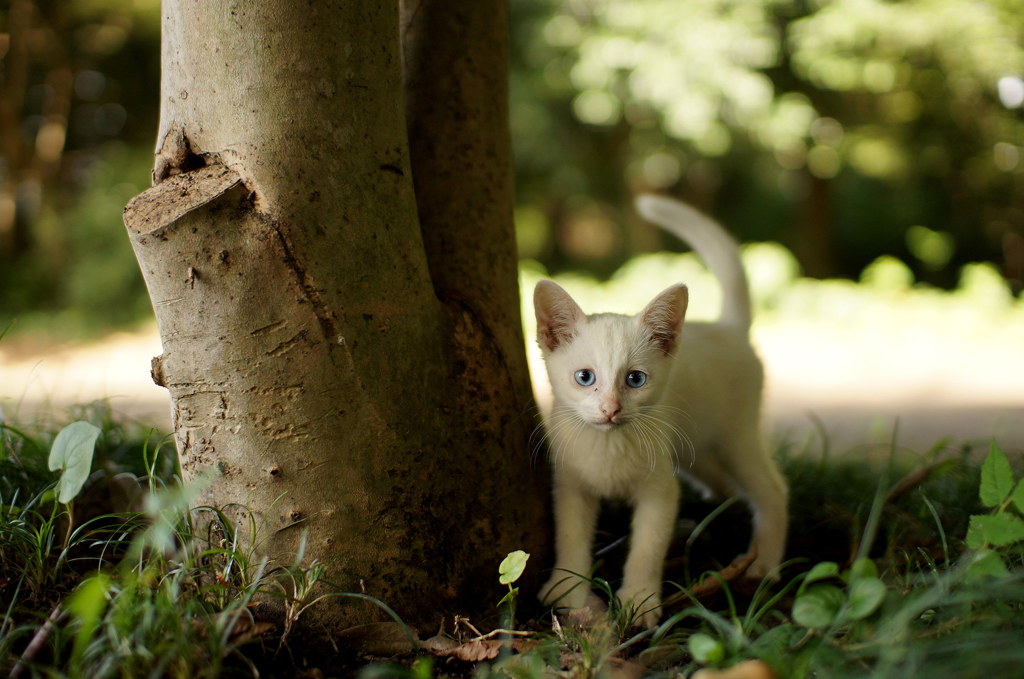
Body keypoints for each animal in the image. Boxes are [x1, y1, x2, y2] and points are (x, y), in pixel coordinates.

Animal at [532, 193, 786, 630]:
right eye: (585, 377)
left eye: (635, 379)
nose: (610, 409)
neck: (609, 449)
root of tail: (727, 327)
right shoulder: (570, 483)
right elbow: (570, 535)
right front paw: (568, 589)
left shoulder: (660, 490)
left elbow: (648, 546)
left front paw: (639, 599)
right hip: (692, 446)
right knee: (723, 482)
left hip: (735, 434)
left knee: (772, 488)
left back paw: (765, 564)